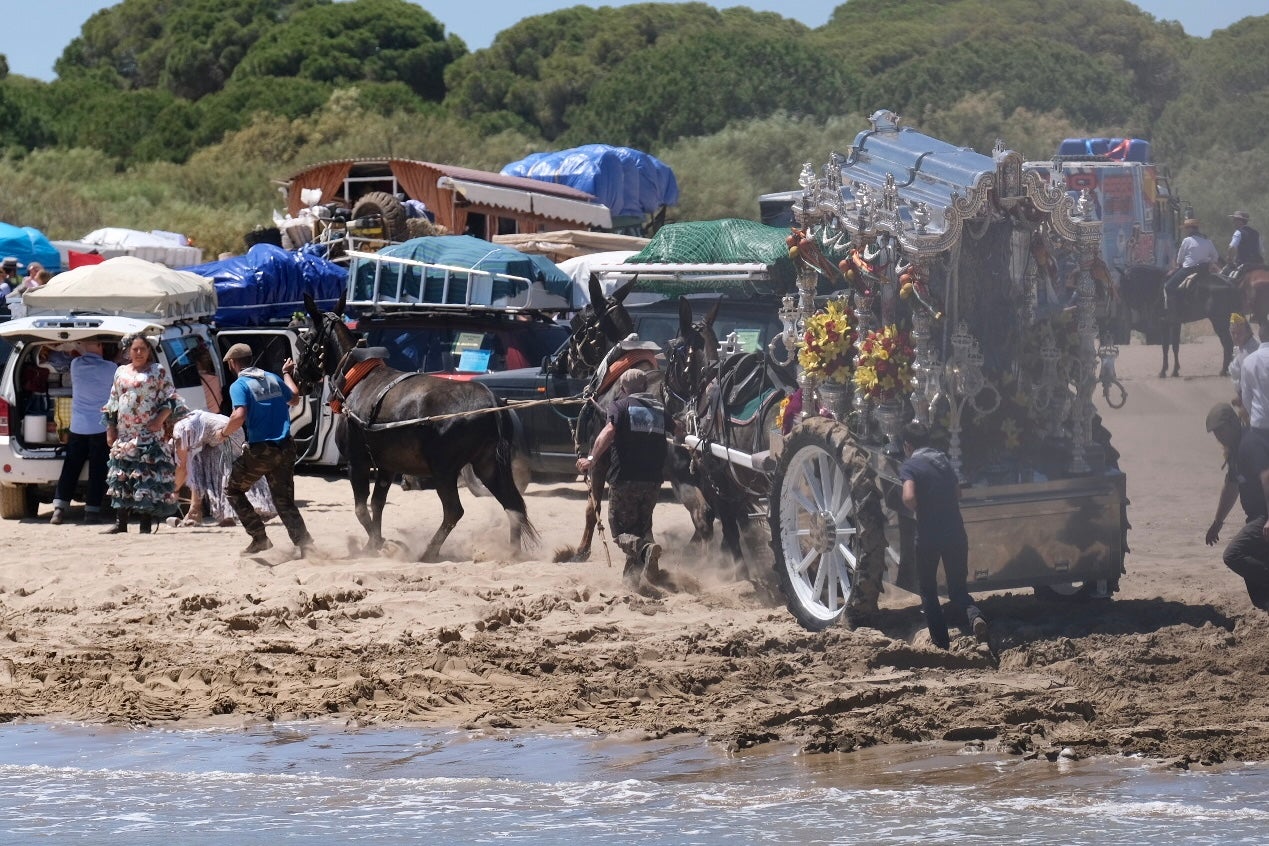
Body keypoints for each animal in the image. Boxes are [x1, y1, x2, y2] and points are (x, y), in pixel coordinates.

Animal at [295, 294, 535, 558]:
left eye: (305, 338)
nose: (296, 374)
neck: (357, 378)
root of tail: (491, 399)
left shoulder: (357, 463)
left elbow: (361, 509)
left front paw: (376, 544)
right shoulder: (386, 467)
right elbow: (377, 505)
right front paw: (374, 543)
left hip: (444, 470)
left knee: (454, 511)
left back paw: (429, 552)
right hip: (489, 465)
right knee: (513, 505)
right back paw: (511, 553)